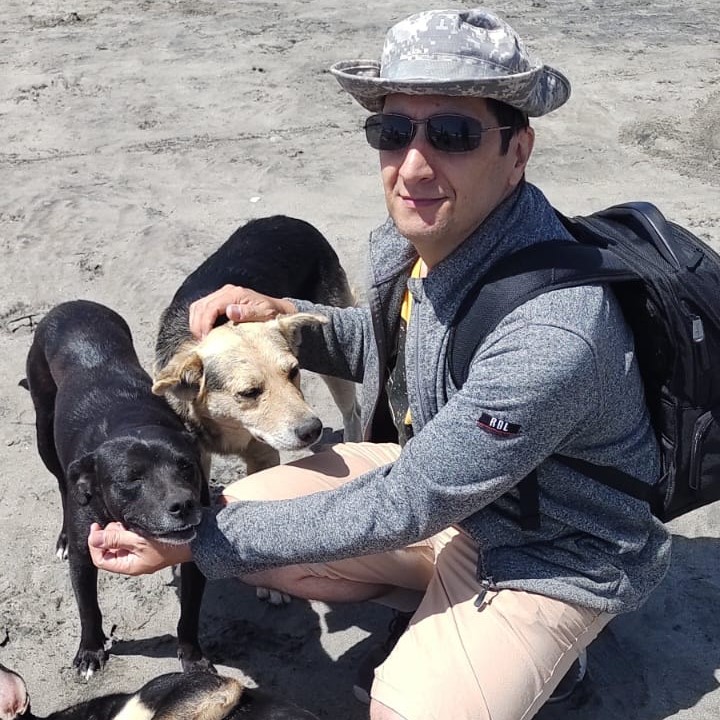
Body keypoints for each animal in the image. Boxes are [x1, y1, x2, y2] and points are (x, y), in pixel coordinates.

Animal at [22, 300, 209, 677]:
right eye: (131, 479)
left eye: (186, 466)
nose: (183, 505)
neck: (131, 421)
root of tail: (72, 305)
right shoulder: (84, 557)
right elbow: (88, 608)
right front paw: (91, 652)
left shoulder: (195, 559)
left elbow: (190, 614)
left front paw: (192, 657)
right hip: (43, 430)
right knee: (62, 483)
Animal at [153, 215, 362, 476]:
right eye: (249, 393)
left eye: (294, 371)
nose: (312, 430)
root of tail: (289, 220)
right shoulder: (197, 456)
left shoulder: (264, 455)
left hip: (336, 369)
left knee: (352, 412)